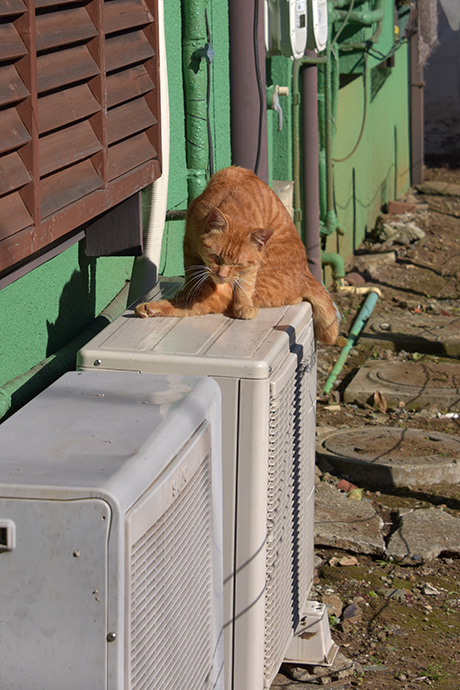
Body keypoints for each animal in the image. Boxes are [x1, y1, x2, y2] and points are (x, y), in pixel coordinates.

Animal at [135, 164, 340, 342]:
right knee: (197, 304)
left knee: (206, 304)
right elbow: (191, 274)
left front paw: (244, 306)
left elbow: (243, 287)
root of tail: (308, 274)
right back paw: (152, 307)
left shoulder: (249, 269)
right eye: (216, 257)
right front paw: (188, 287)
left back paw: (150, 308)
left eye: (238, 264)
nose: (221, 275)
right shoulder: (189, 246)